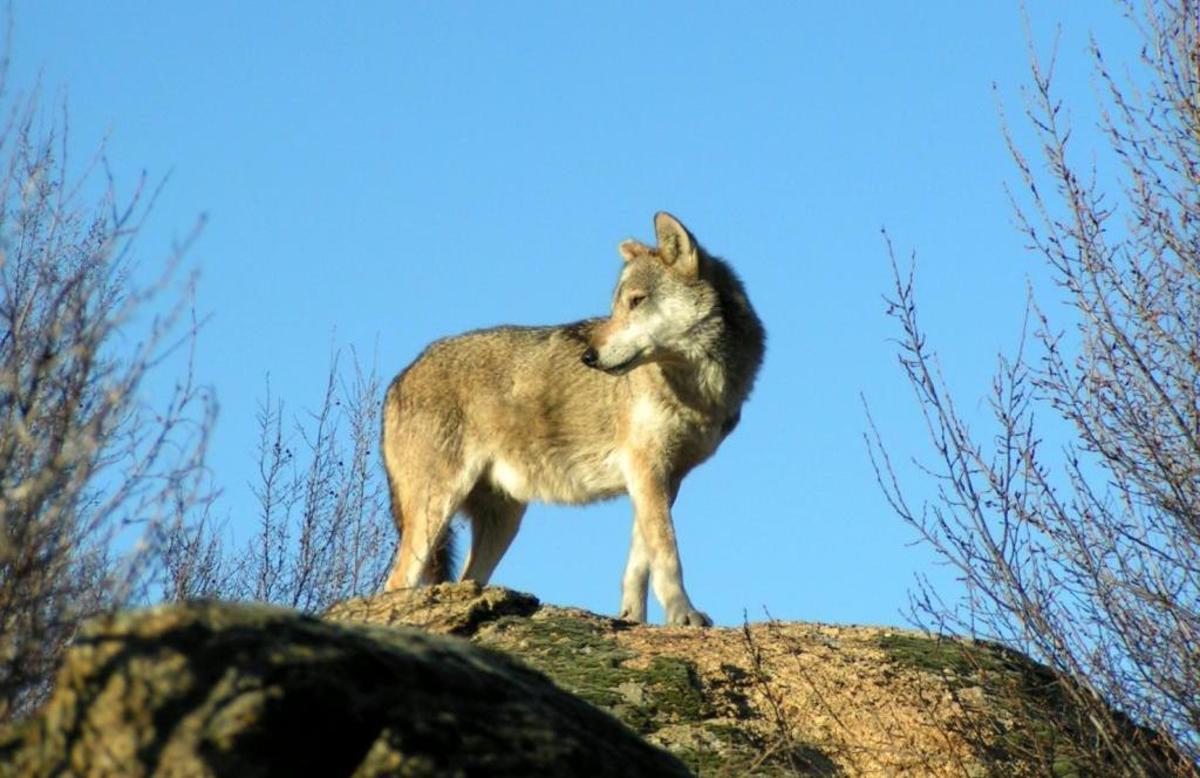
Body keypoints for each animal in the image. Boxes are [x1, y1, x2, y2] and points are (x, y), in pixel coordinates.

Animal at [379, 212, 763, 624]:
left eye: (636, 301)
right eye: (615, 307)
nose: (589, 357)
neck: (699, 390)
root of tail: (398, 379)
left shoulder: (662, 478)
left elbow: (639, 563)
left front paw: (631, 618)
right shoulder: (646, 468)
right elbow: (667, 553)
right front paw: (683, 614)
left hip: (503, 521)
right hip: (436, 511)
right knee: (395, 583)